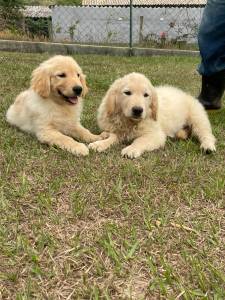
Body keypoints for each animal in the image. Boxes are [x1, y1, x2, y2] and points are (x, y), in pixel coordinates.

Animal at [88, 72, 216, 159]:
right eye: (127, 93)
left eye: (146, 95)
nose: (138, 110)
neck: (130, 122)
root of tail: (186, 94)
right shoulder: (119, 130)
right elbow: (113, 137)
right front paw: (99, 144)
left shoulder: (155, 135)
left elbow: (140, 140)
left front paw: (131, 149)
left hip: (198, 117)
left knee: (206, 134)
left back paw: (208, 146)